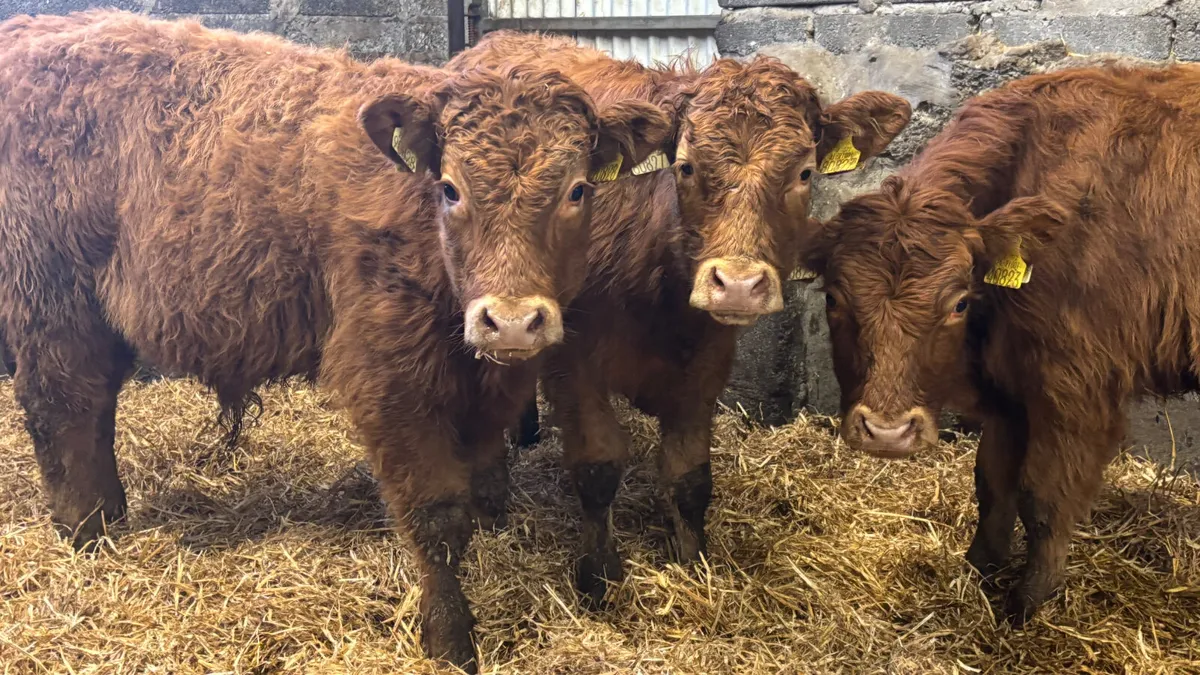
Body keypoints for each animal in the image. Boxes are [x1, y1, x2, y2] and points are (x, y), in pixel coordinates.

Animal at [0, 12, 670, 671]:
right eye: (450, 188)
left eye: (578, 190)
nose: (508, 320)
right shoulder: (388, 377)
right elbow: (436, 514)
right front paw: (450, 639)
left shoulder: (489, 387)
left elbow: (479, 481)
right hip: (52, 299)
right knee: (64, 406)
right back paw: (86, 529)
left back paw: (108, 513)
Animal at [451, 32, 912, 605]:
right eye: (686, 167)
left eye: (804, 173)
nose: (737, 283)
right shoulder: (572, 362)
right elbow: (597, 467)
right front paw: (598, 578)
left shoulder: (708, 361)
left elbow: (689, 474)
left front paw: (693, 562)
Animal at [799, 64, 1200, 624]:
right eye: (834, 297)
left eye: (959, 303)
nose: (887, 433)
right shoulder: (1010, 390)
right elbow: (991, 484)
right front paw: (978, 570)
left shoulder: (1076, 391)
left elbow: (1043, 499)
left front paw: (1029, 603)